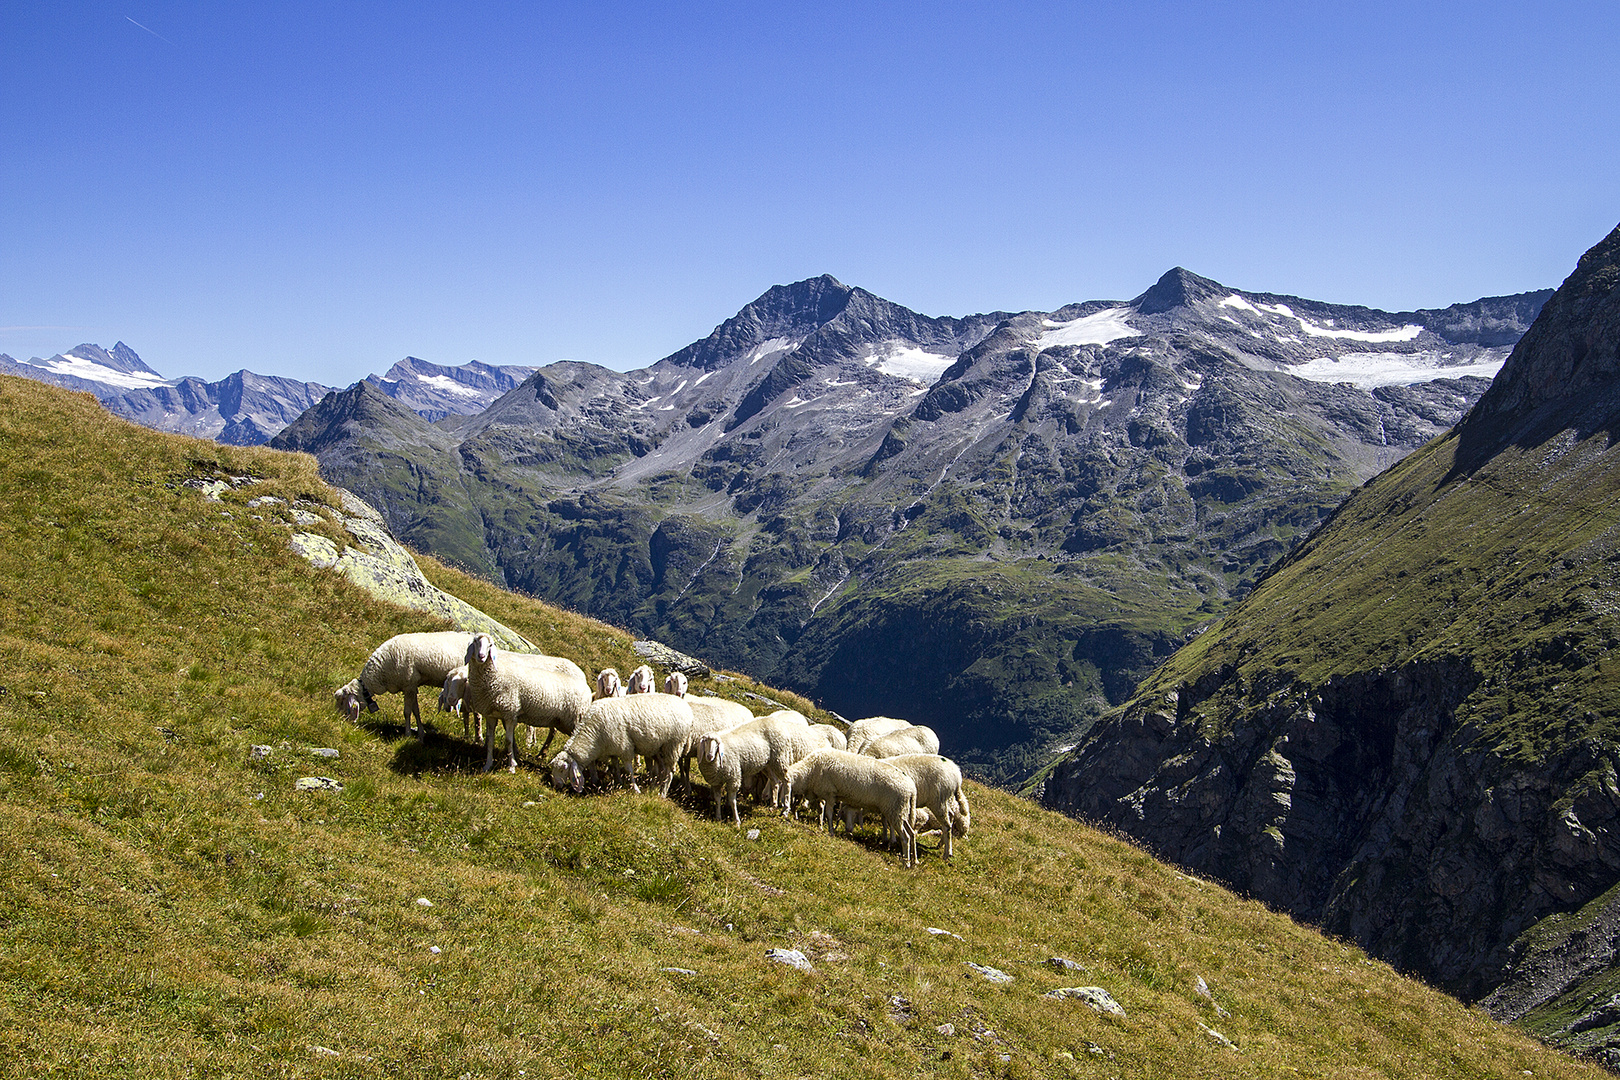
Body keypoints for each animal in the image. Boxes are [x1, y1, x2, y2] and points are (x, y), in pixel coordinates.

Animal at [333, 628, 469, 738]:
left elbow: (407, 712)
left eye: (342, 701)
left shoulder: (408, 685)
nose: (336, 719)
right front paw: (420, 734)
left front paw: (407, 734)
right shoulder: (411, 687)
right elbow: (415, 710)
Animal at [463, 634, 596, 777]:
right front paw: (489, 764)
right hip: (560, 720)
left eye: (490, 645)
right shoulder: (494, 713)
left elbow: (508, 740)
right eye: (475, 642)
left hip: (576, 720)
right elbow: (491, 739)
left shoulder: (510, 710)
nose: (481, 656)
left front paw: (511, 765)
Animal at [547, 693, 693, 793]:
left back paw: (662, 793)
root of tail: (685, 707)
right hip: (658, 748)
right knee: (663, 767)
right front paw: (618, 782)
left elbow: (629, 770)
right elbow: (616, 767)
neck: (594, 734)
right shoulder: (613, 748)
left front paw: (635, 789)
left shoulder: (625, 747)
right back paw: (654, 786)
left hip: (674, 745)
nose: (555, 785)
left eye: (562, 769)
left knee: (669, 771)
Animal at [787, 751, 920, 867]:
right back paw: (914, 860)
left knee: (905, 837)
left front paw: (830, 831)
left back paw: (906, 862)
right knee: (912, 833)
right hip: (901, 811)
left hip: (895, 810)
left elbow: (829, 814)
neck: (809, 771)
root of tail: (912, 789)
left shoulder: (830, 793)